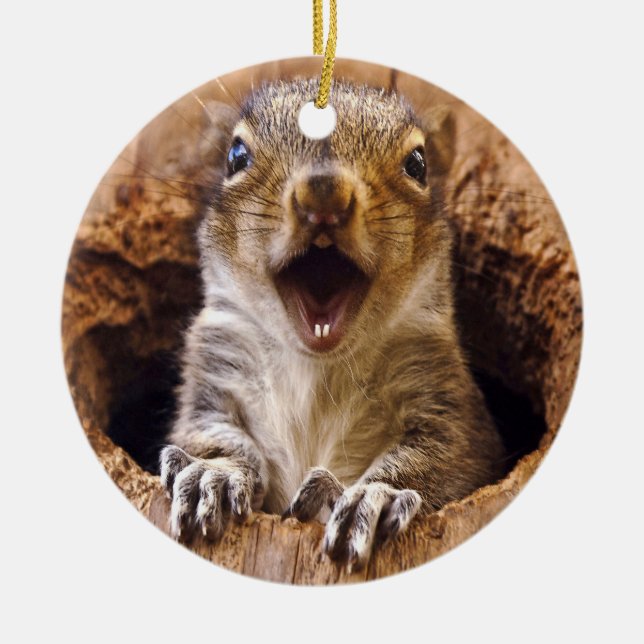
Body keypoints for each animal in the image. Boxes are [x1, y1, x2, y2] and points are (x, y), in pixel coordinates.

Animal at [160, 78, 505, 570]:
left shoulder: (444, 396)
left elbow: (444, 456)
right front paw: (213, 473)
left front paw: (375, 496)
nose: (323, 192)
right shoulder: (214, 369)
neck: (317, 365)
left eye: (418, 164)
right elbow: (209, 433)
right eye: (236, 156)